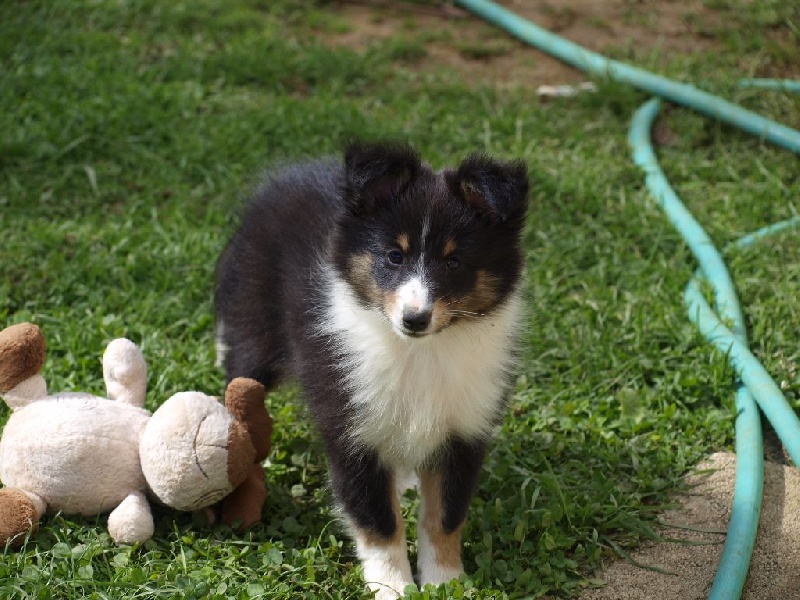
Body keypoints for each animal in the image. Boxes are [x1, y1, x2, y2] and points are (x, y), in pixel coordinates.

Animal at [216, 139, 528, 596]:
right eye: (394, 256)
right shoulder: (350, 429)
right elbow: (378, 519)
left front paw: (445, 582)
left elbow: (444, 516)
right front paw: (394, 587)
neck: (420, 351)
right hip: (253, 332)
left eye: (453, 262)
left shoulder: (464, 429)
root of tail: (282, 179)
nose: (415, 319)